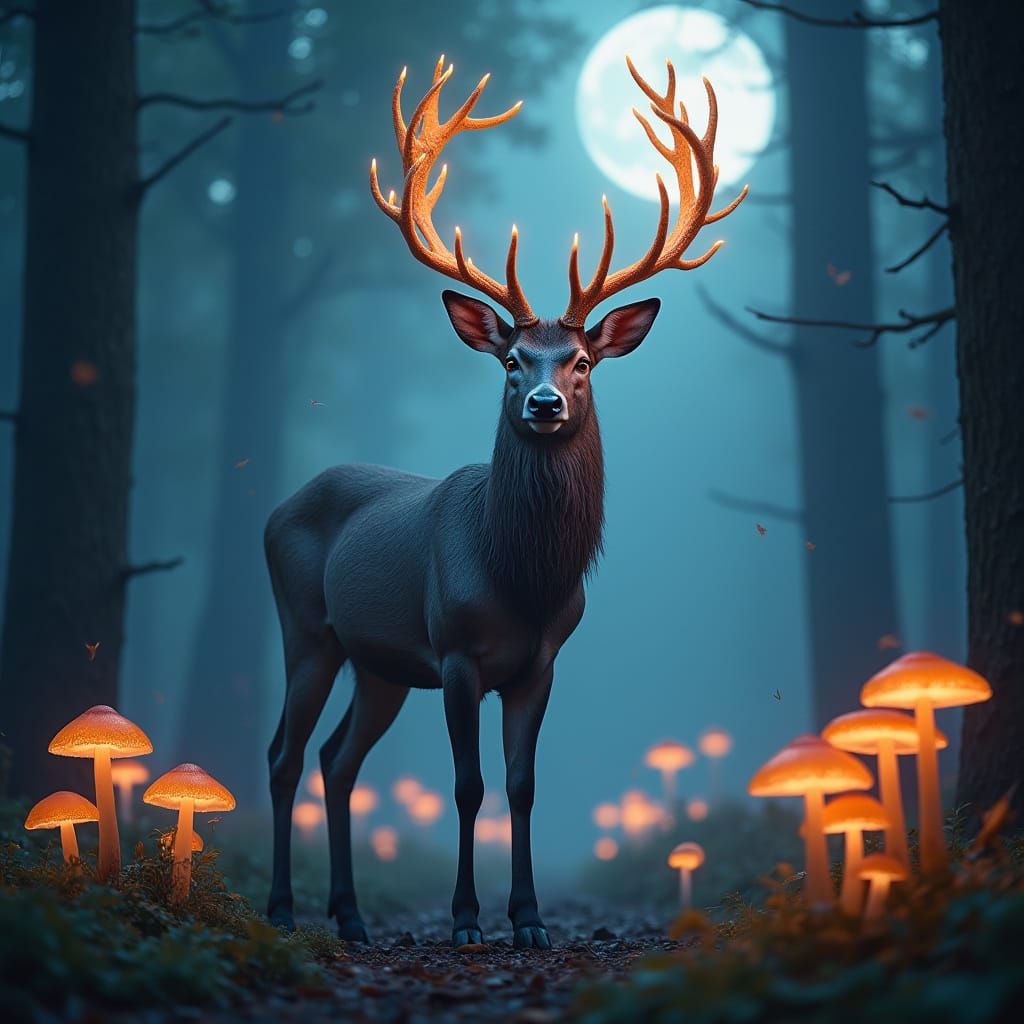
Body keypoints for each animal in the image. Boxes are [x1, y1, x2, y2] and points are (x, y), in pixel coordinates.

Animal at [265, 54, 746, 948]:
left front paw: (528, 920)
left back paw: (349, 915)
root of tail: (279, 508)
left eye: (583, 362)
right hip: (306, 627)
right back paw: (282, 909)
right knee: (285, 751)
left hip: (379, 664)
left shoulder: (542, 660)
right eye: (513, 360)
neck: (520, 575)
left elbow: (522, 784)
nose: (545, 404)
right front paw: (465, 920)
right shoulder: (455, 650)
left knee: (337, 759)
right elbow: (469, 785)